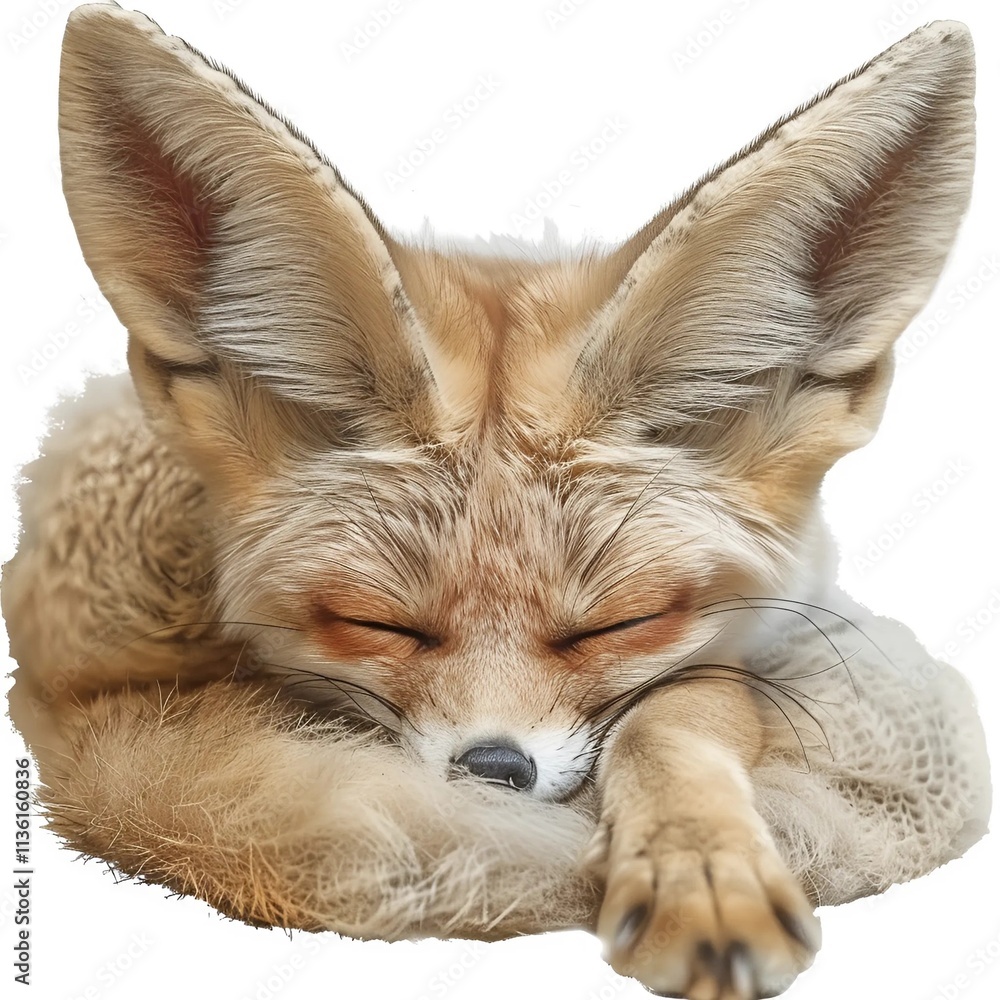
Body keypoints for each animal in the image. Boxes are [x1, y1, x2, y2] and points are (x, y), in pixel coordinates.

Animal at [2, 6, 992, 1000]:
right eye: (380, 624)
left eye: (618, 624)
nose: (492, 770)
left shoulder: (741, 645)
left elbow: (674, 719)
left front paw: (702, 864)